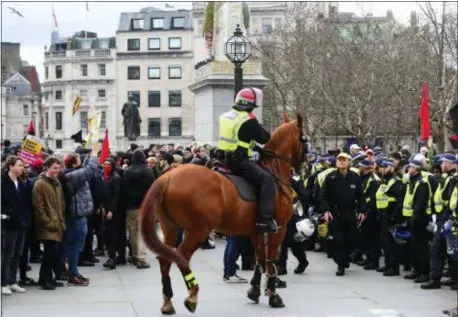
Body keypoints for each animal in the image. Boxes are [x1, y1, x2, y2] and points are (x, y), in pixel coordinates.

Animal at [138, 112, 306, 312]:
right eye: (305, 138)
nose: (303, 164)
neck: (274, 171)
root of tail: (168, 177)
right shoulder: (279, 228)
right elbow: (271, 260)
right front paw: (273, 295)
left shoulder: (256, 230)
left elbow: (260, 259)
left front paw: (254, 291)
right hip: (198, 230)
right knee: (181, 256)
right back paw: (192, 295)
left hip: (170, 227)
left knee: (166, 258)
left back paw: (168, 303)